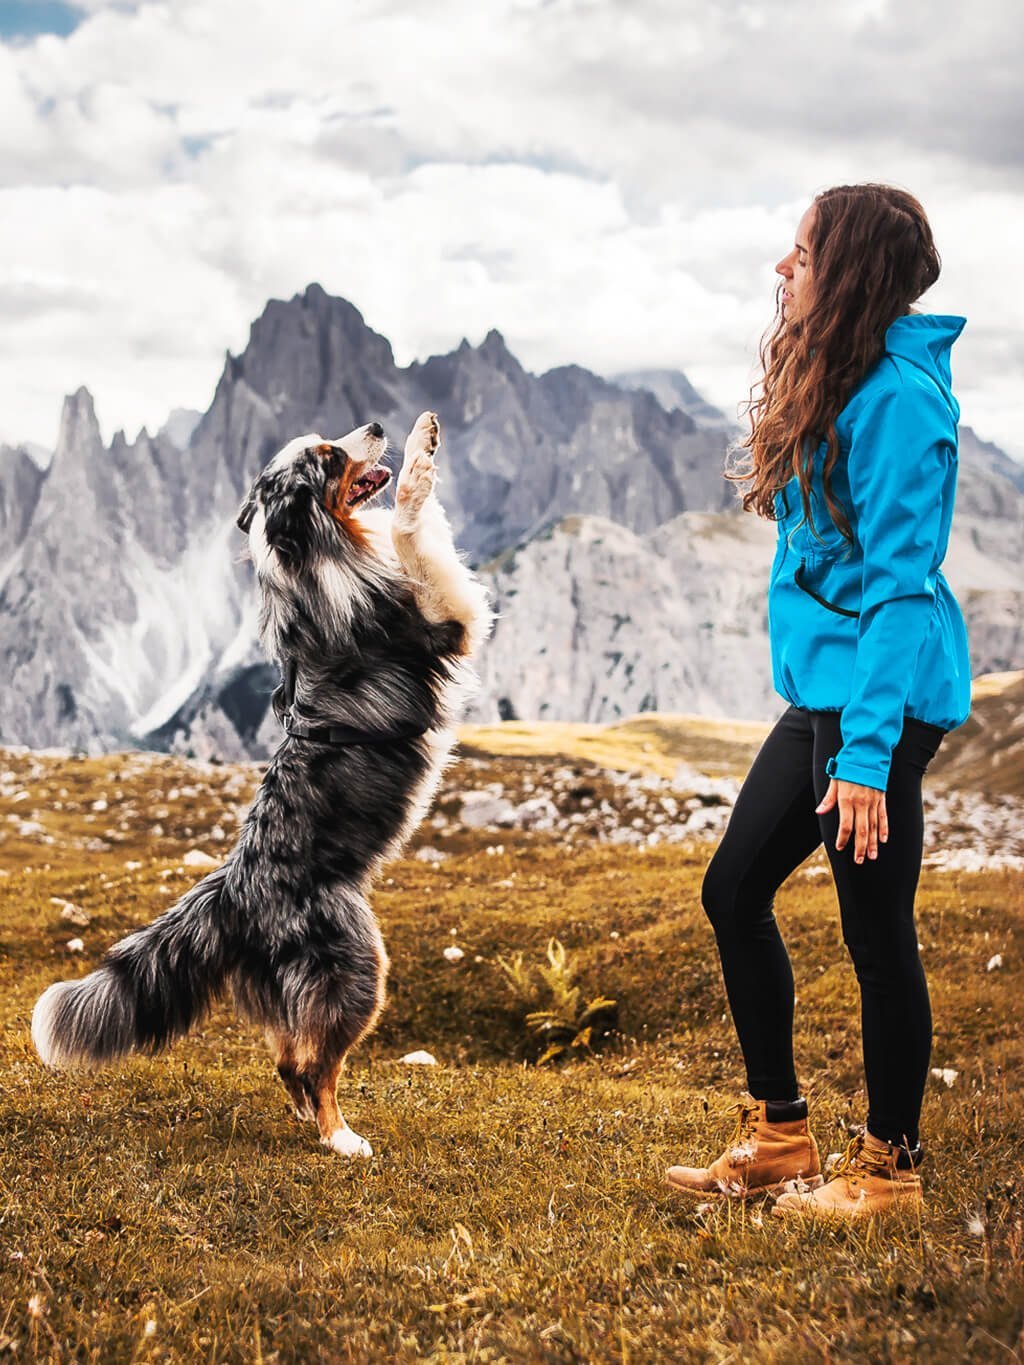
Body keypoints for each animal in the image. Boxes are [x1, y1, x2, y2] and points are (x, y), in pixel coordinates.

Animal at [32, 409, 494, 1157]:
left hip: (297, 983)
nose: (376, 422)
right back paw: (341, 1138)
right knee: (315, 1061)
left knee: (289, 1057)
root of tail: (234, 888)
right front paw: (421, 455)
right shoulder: (436, 620)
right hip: (354, 964)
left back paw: (312, 1120)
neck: (315, 557)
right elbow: (412, 526)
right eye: (330, 456)